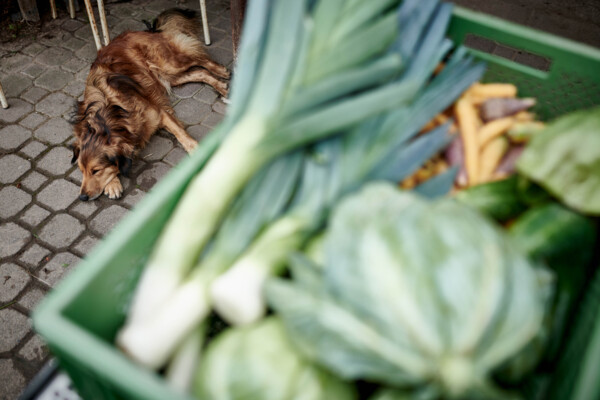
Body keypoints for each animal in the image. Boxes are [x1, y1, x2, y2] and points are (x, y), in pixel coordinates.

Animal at [69, 8, 230, 203]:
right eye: (81, 170)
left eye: (96, 170)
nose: (82, 197)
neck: (108, 115)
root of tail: (147, 30)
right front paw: (112, 184)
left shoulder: (160, 114)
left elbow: (181, 134)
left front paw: (196, 150)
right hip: (170, 77)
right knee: (200, 72)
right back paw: (220, 86)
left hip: (171, 65)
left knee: (201, 59)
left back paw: (221, 70)